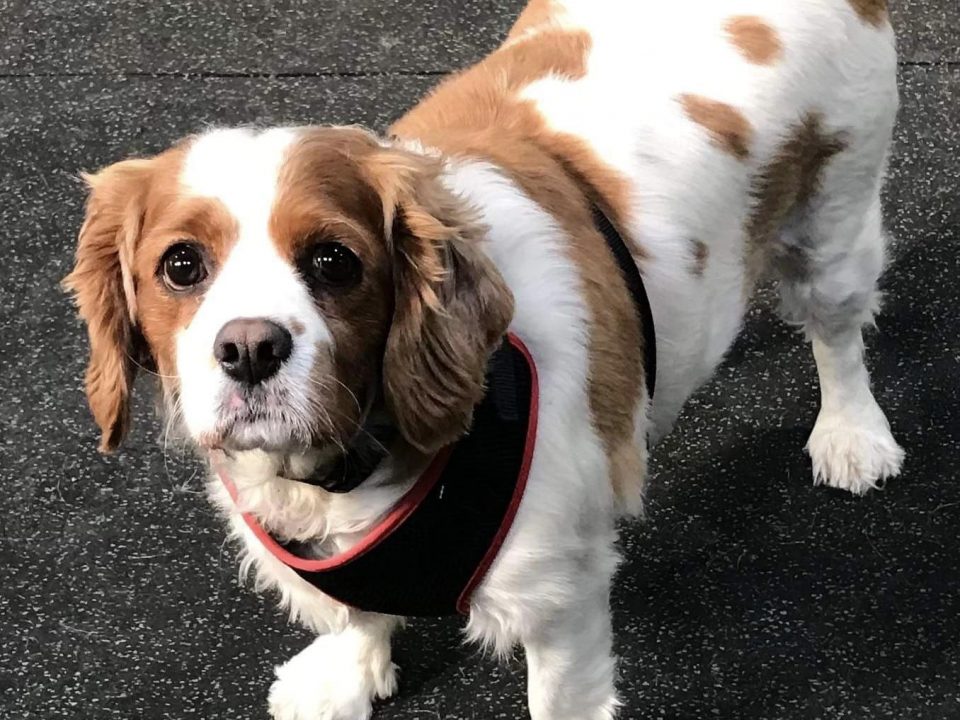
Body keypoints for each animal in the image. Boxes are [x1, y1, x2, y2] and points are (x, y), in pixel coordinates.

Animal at [63, 2, 904, 716]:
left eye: (335, 261)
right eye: (180, 266)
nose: (249, 348)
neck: (356, 464)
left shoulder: (557, 600)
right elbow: (356, 612)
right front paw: (345, 676)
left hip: (834, 221)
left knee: (837, 334)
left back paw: (852, 435)